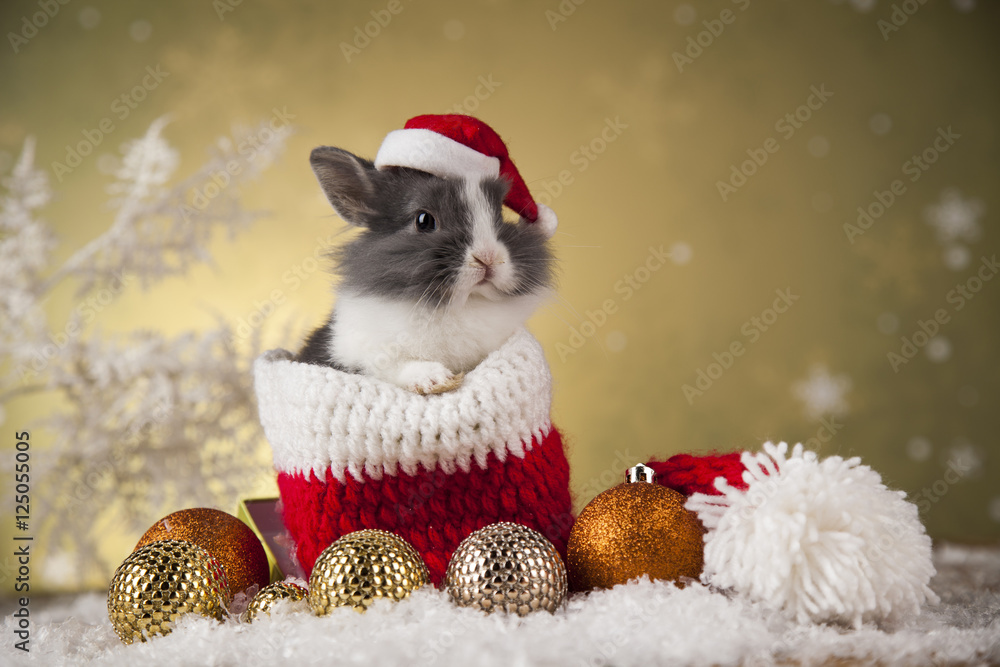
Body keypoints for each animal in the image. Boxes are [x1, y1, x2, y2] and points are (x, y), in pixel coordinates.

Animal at [297, 145, 555, 394]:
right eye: (424, 220)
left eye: (499, 215)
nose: (488, 257)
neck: (458, 304)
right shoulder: (357, 353)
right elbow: (393, 366)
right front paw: (435, 378)